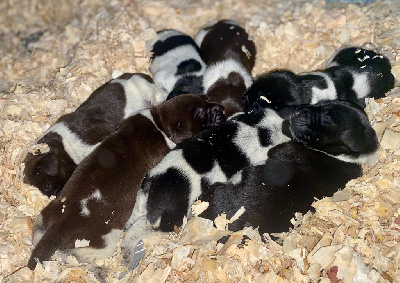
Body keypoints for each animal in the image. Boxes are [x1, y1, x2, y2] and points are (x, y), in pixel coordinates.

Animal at [27, 94, 228, 272]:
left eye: (206, 98)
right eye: (199, 114)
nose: (222, 109)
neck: (160, 122)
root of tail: (59, 227)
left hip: (45, 215)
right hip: (103, 242)